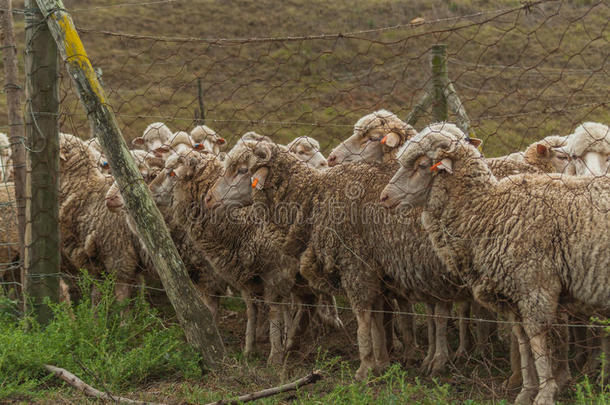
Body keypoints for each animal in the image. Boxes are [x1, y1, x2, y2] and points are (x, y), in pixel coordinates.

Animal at [204, 138, 470, 378]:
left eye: (242, 170)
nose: (208, 199)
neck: (313, 196)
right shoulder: (372, 271)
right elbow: (376, 317)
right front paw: (382, 361)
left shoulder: (355, 266)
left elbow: (363, 317)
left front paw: (365, 366)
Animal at [380, 123, 608, 404]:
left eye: (423, 165)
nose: (384, 197)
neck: (487, 210)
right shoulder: (513, 296)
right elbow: (522, 342)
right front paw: (526, 391)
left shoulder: (535, 289)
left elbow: (538, 342)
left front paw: (545, 393)